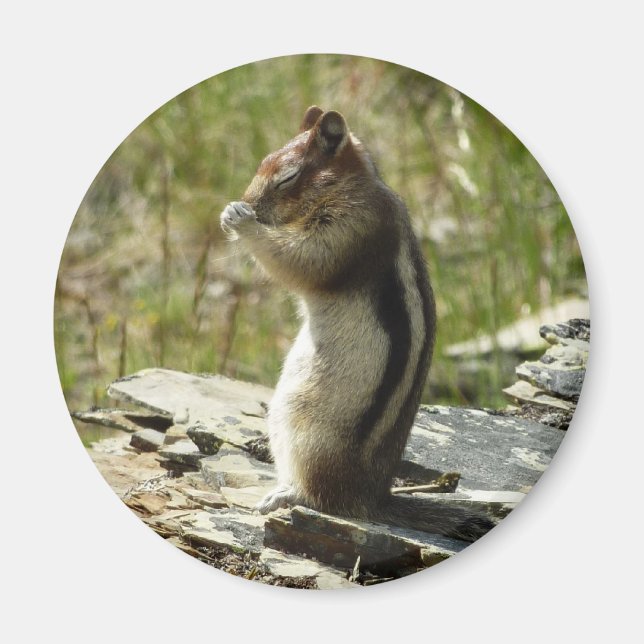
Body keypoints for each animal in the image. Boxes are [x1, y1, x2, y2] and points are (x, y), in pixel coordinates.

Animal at [220, 106, 493, 542]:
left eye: (287, 178)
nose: (249, 203)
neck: (351, 186)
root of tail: (372, 498)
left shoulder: (350, 227)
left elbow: (303, 260)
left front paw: (241, 220)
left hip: (303, 429)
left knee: (320, 497)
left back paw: (284, 495)